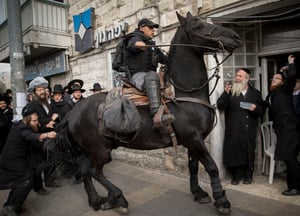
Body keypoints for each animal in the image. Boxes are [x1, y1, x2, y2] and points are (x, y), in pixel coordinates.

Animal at [54, 12, 241, 216]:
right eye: (198, 26)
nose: (235, 36)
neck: (186, 95)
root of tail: (73, 113)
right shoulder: (195, 139)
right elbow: (212, 168)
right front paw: (222, 201)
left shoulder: (192, 141)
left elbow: (193, 167)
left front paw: (199, 193)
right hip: (100, 150)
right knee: (96, 172)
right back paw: (118, 199)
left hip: (88, 150)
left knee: (85, 170)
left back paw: (96, 200)